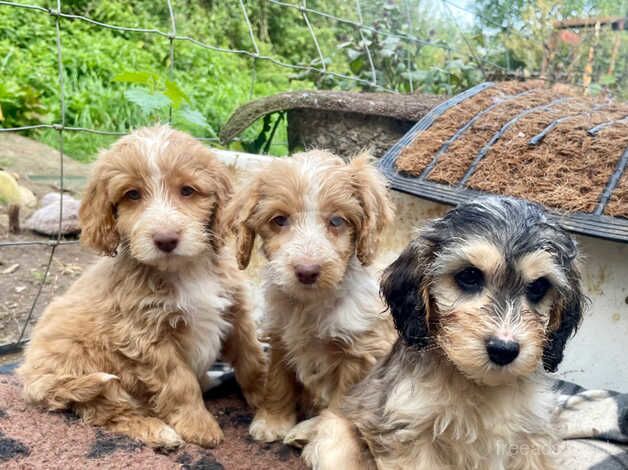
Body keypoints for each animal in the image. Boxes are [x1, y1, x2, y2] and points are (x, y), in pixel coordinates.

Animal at [17, 125, 264, 448]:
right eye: (132, 195)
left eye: (187, 191)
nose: (166, 239)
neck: (185, 270)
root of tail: (31, 377)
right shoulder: (146, 337)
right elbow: (179, 382)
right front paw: (198, 425)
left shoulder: (236, 311)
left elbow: (251, 358)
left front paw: (270, 404)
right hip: (88, 371)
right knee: (106, 411)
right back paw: (158, 431)